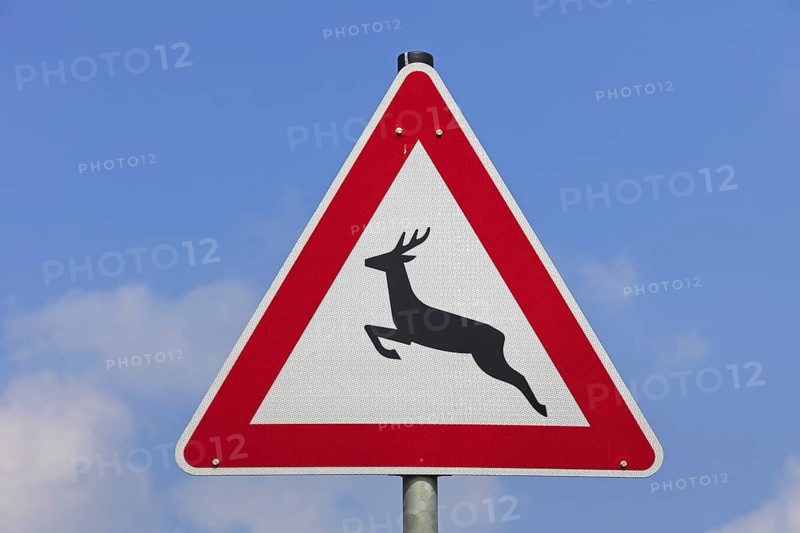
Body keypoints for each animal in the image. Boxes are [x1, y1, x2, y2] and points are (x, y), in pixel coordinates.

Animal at [364, 228, 548, 417]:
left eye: (387, 256)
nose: (366, 260)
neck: (405, 305)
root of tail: (502, 337)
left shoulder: (407, 335)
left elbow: (370, 328)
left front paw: (391, 352)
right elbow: (369, 326)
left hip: (488, 358)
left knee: (518, 376)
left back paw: (541, 408)